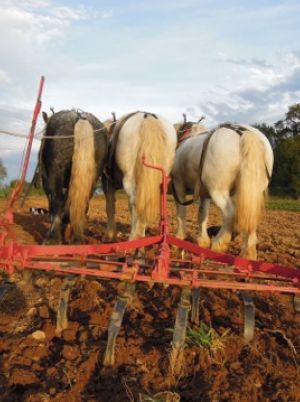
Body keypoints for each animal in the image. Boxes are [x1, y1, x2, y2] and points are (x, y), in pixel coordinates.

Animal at [37, 108, 108, 243]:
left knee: (57, 200)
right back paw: (76, 237)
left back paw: (52, 238)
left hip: (55, 171)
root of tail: (79, 117)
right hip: (94, 176)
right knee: (83, 204)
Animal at [103, 110, 178, 239]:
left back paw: (134, 238)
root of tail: (149, 118)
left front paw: (110, 234)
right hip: (162, 176)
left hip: (129, 177)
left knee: (134, 202)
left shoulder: (107, 181)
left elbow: (110, 206)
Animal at [170, 122, 274, 260]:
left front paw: (178, 239)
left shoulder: (178, 184)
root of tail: (245, 132)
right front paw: (203, 242)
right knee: (250, 217)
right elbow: (202, 215)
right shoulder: (204, 194)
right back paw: (248, 253)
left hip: (218, 191)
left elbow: (181, 213)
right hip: (252, 192)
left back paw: (219, 244)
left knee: (230, 213)